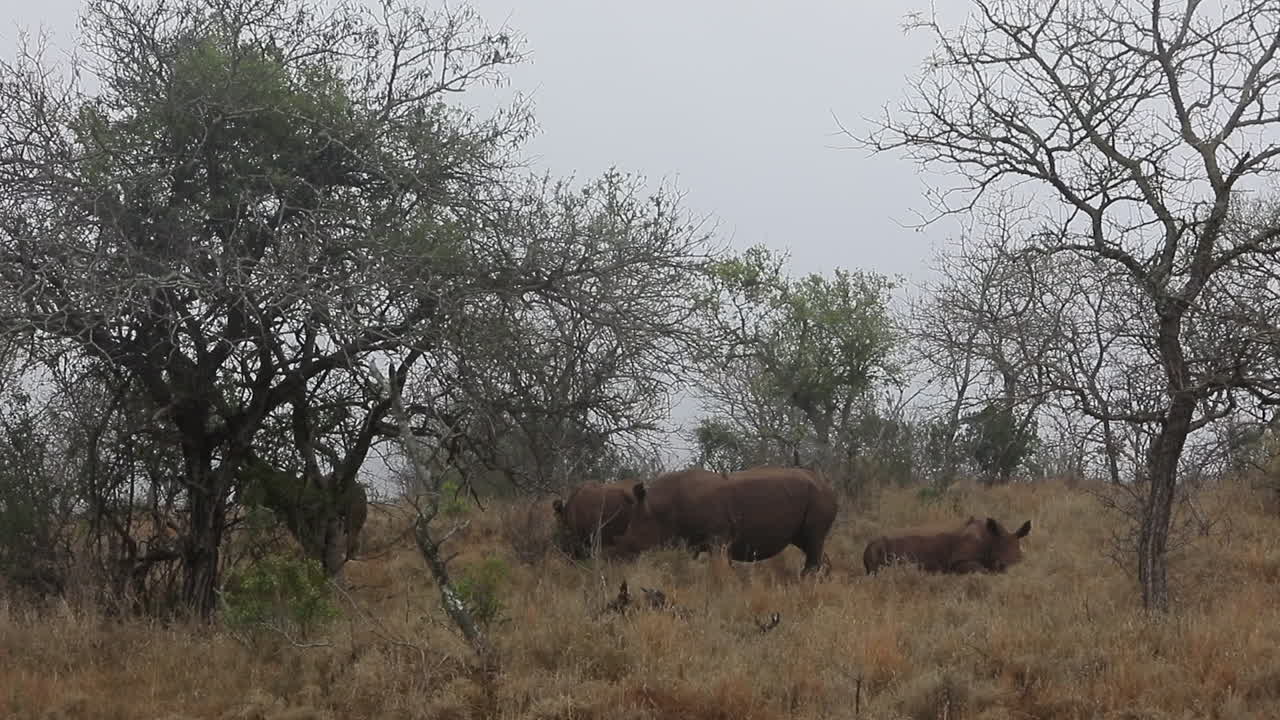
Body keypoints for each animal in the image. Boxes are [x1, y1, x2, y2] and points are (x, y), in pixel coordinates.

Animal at [611, 466, 838, 576]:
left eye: (633, 537)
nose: (619, 555)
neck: (657, 508)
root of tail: (827, 483)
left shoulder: (717, 538)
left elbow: (718, 569)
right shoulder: (692, 541)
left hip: (818, 497)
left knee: (814, 540)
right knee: (809, 543)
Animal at [862, 515, 1031, 575]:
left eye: (1022, 560)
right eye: (1000, 564)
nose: (1012, 570)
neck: (991, 539)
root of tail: (868, 542)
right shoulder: (958, 561)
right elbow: (981, 570)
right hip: (877, 544)